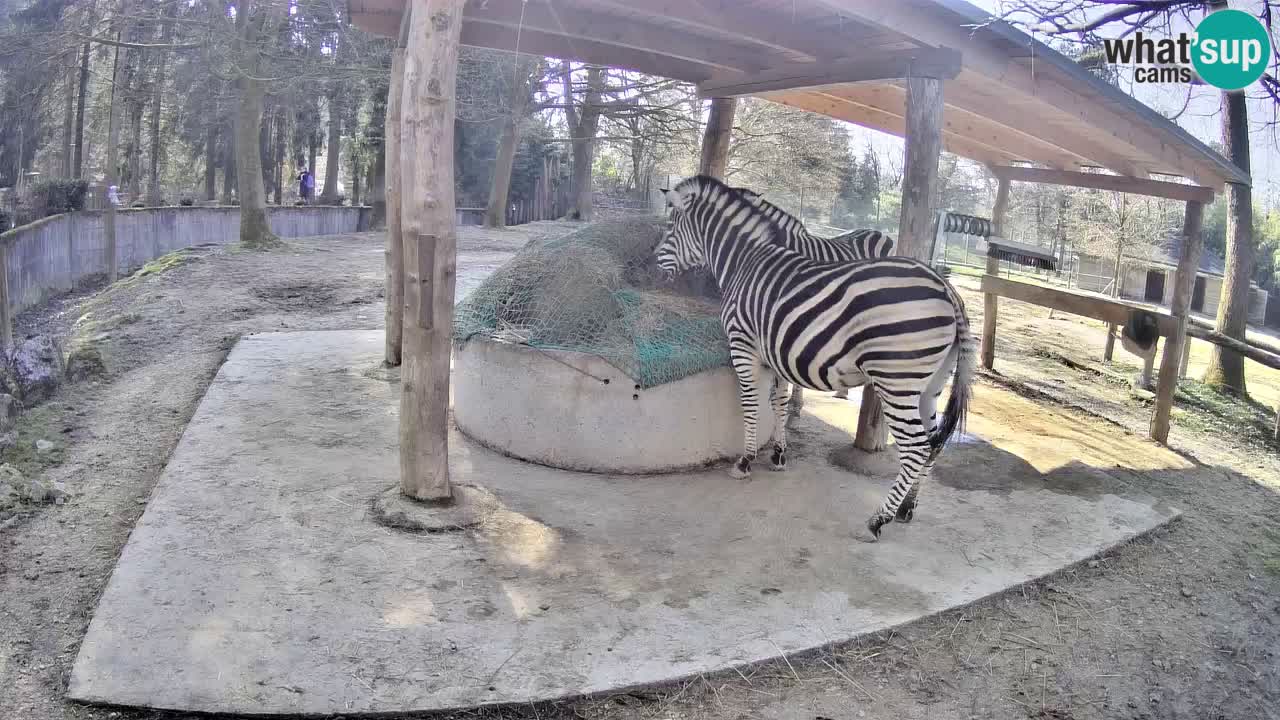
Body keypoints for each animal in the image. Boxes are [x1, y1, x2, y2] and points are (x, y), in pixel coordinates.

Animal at [655, 175, 976, 541]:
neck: (745, 261)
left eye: (670, 226)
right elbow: (778, 401)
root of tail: (946, 288)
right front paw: (779, 454)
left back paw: (878, 519)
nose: (653, 265)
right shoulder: (776, 350)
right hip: (930, 384)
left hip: (897, 380)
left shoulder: (742, 343)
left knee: (916, 447)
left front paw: (745, 461)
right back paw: (907, 508)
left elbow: (751, 403)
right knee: (935, 441)